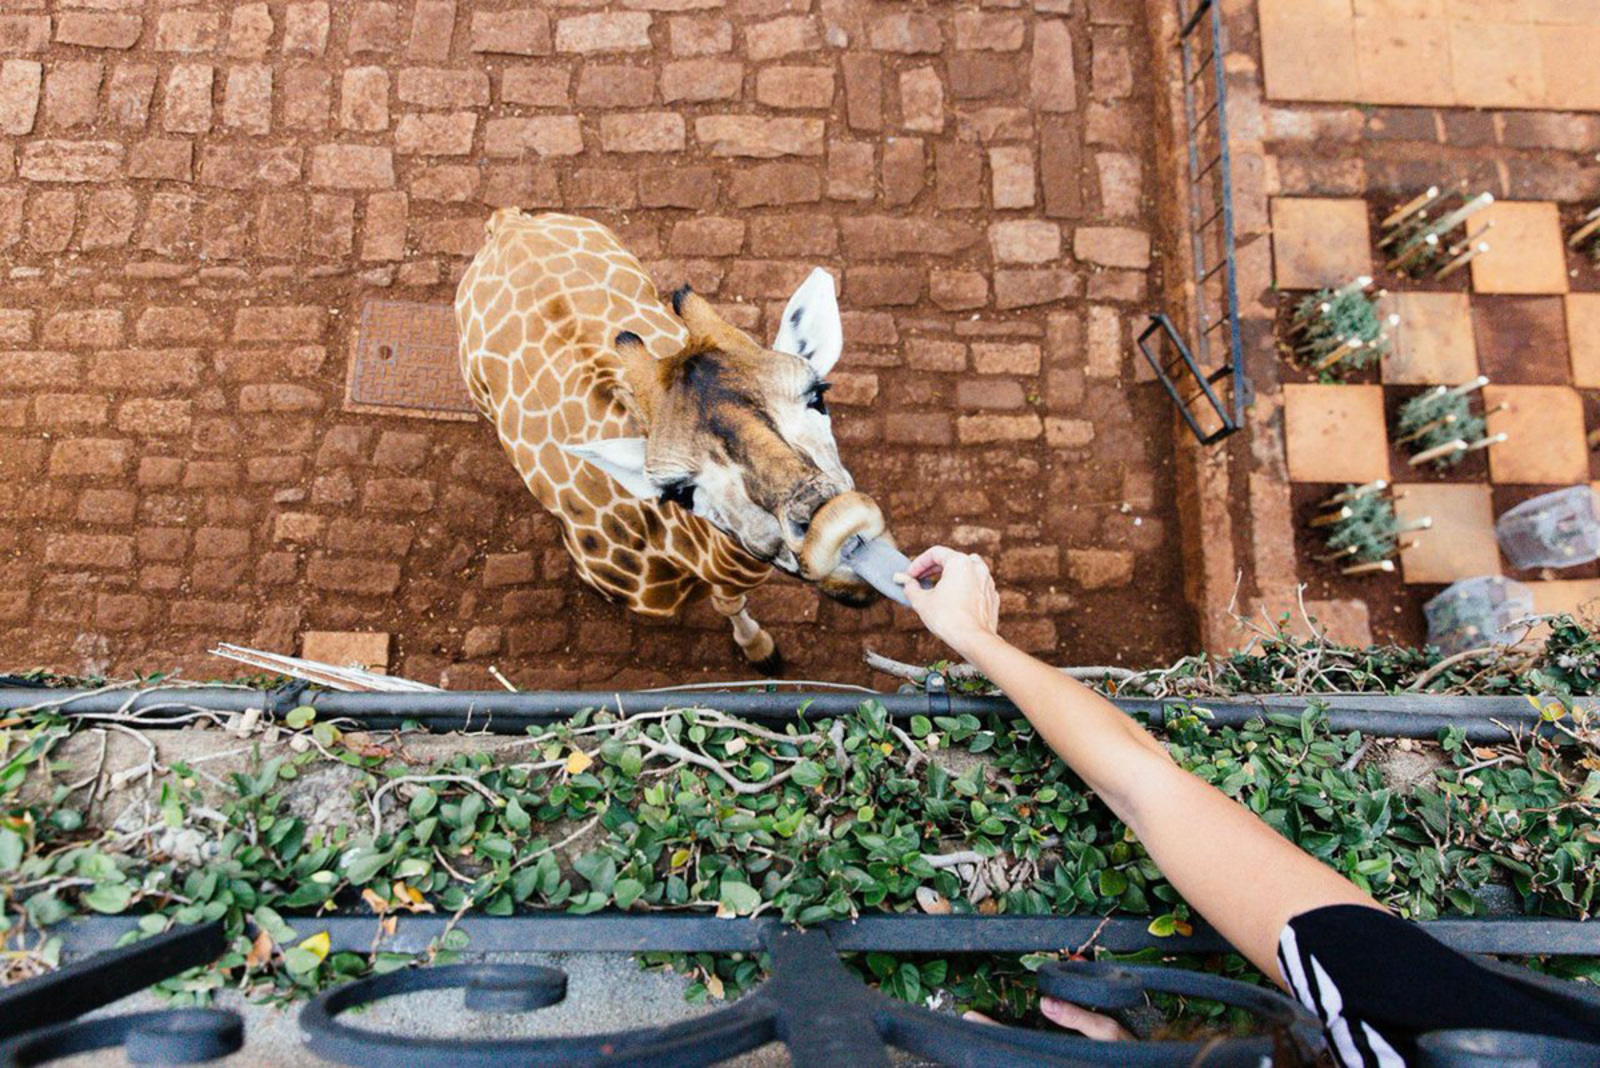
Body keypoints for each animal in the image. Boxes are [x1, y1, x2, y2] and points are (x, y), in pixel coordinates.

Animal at [457, 211, 896, 671]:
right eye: (680, 490)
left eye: (817, 395)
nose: (834, 521)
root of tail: (508, 222)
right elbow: (727, 602)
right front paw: (761, 651)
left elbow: (729, 600)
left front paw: (760, 649)